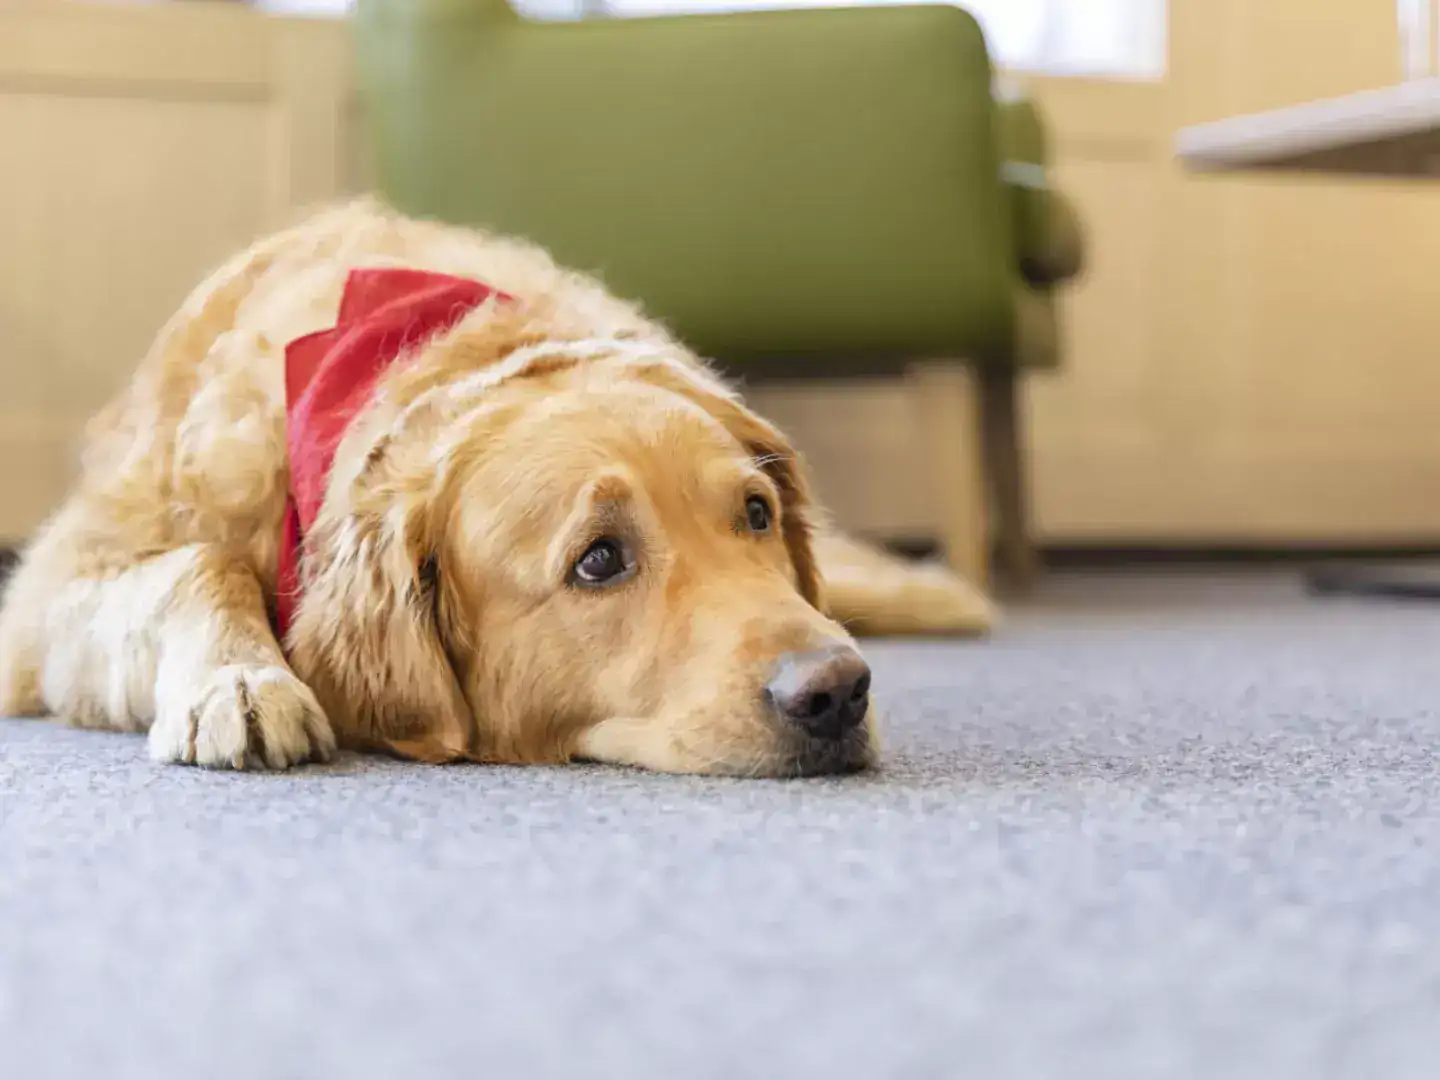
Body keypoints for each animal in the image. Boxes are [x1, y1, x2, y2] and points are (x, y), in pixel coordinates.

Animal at [0, 201, 990, 777]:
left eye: (757, 513)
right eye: (598, 561)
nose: (838, 691)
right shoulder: (44, 605)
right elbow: (196, 563)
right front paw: (238, 676)